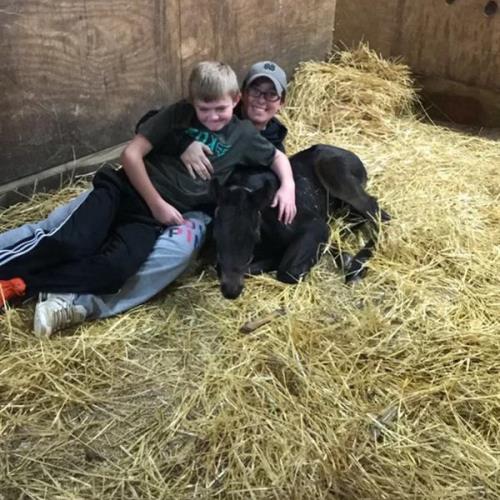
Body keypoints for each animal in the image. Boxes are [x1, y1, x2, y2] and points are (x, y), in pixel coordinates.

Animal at [211, 144, 390, 299]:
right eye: (216, 236)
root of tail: (355, 158)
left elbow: (287, 273)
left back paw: (356, 267)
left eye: (254, 235)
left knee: (378, 213)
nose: (231, 290)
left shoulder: (314, 225)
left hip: (339, 178)